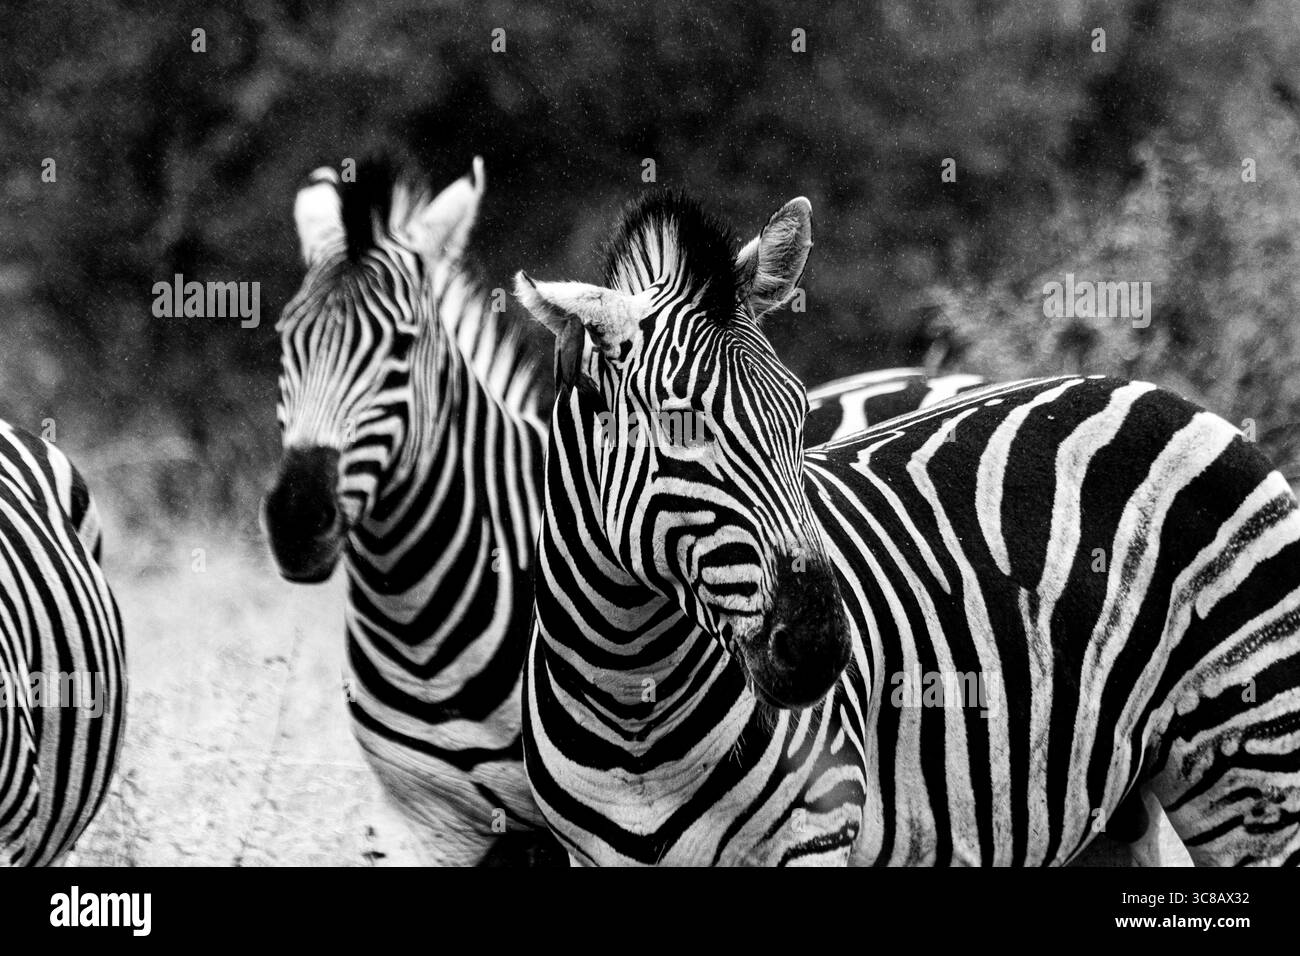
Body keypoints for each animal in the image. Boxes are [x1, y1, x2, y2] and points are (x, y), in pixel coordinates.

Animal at [513, 189, 1300, 866]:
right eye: (682, 429)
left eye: (799, 417)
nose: (820, 646)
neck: (633, 703)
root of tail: (1164, 395)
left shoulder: (814, 833)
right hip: (1111, 807)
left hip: (1255, 762)